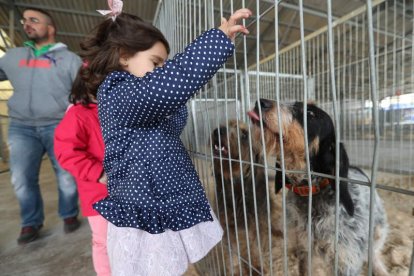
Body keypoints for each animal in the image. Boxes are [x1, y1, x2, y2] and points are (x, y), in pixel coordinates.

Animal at [247, 99, 390, 276]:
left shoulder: (345, 260)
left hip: (378, 229)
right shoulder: (304, 250)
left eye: (311, 114)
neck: (311, 192)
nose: (260, 102)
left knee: (373, 253)